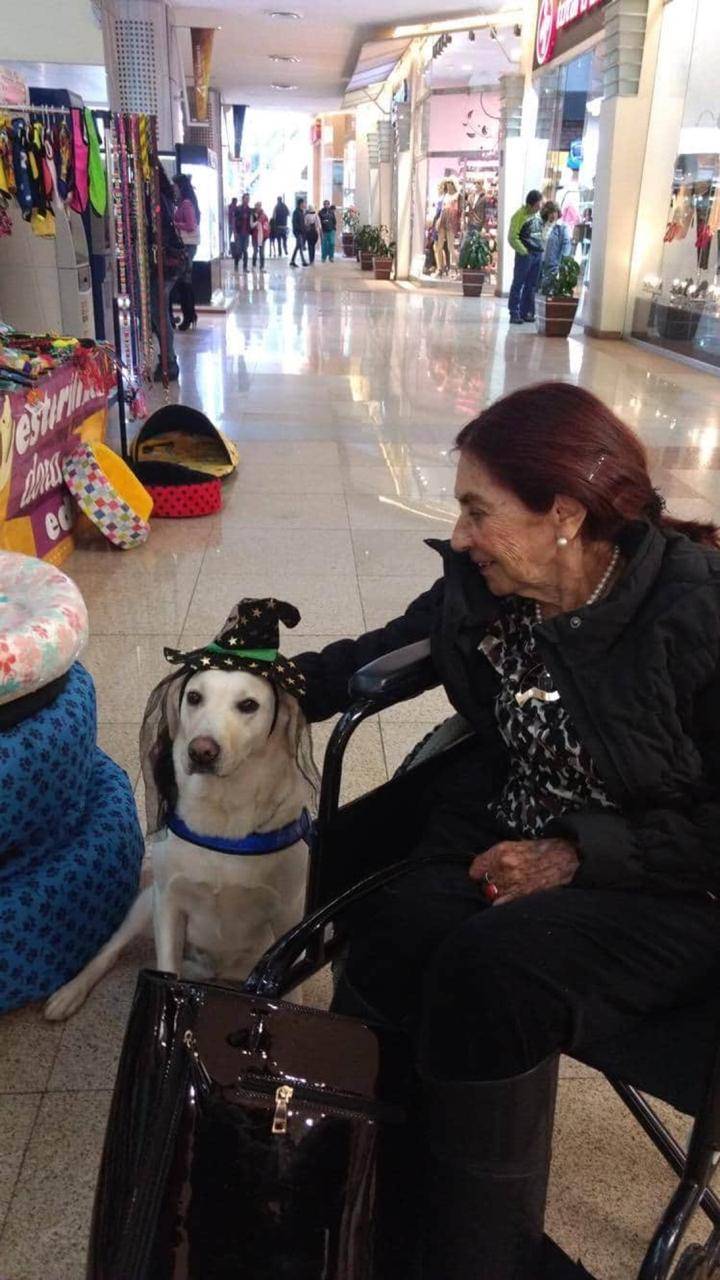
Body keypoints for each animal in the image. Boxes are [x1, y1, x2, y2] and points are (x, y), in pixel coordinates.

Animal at [46, 670, 310, 1018]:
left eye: (249, 705)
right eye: (194, 697)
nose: (201, 751)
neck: (221, 811)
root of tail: (214, 972)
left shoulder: (288, 914)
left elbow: (292, 990)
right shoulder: (169, 902)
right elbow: (166, 969)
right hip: (146, 903)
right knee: (110, 950)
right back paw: (69, 993)